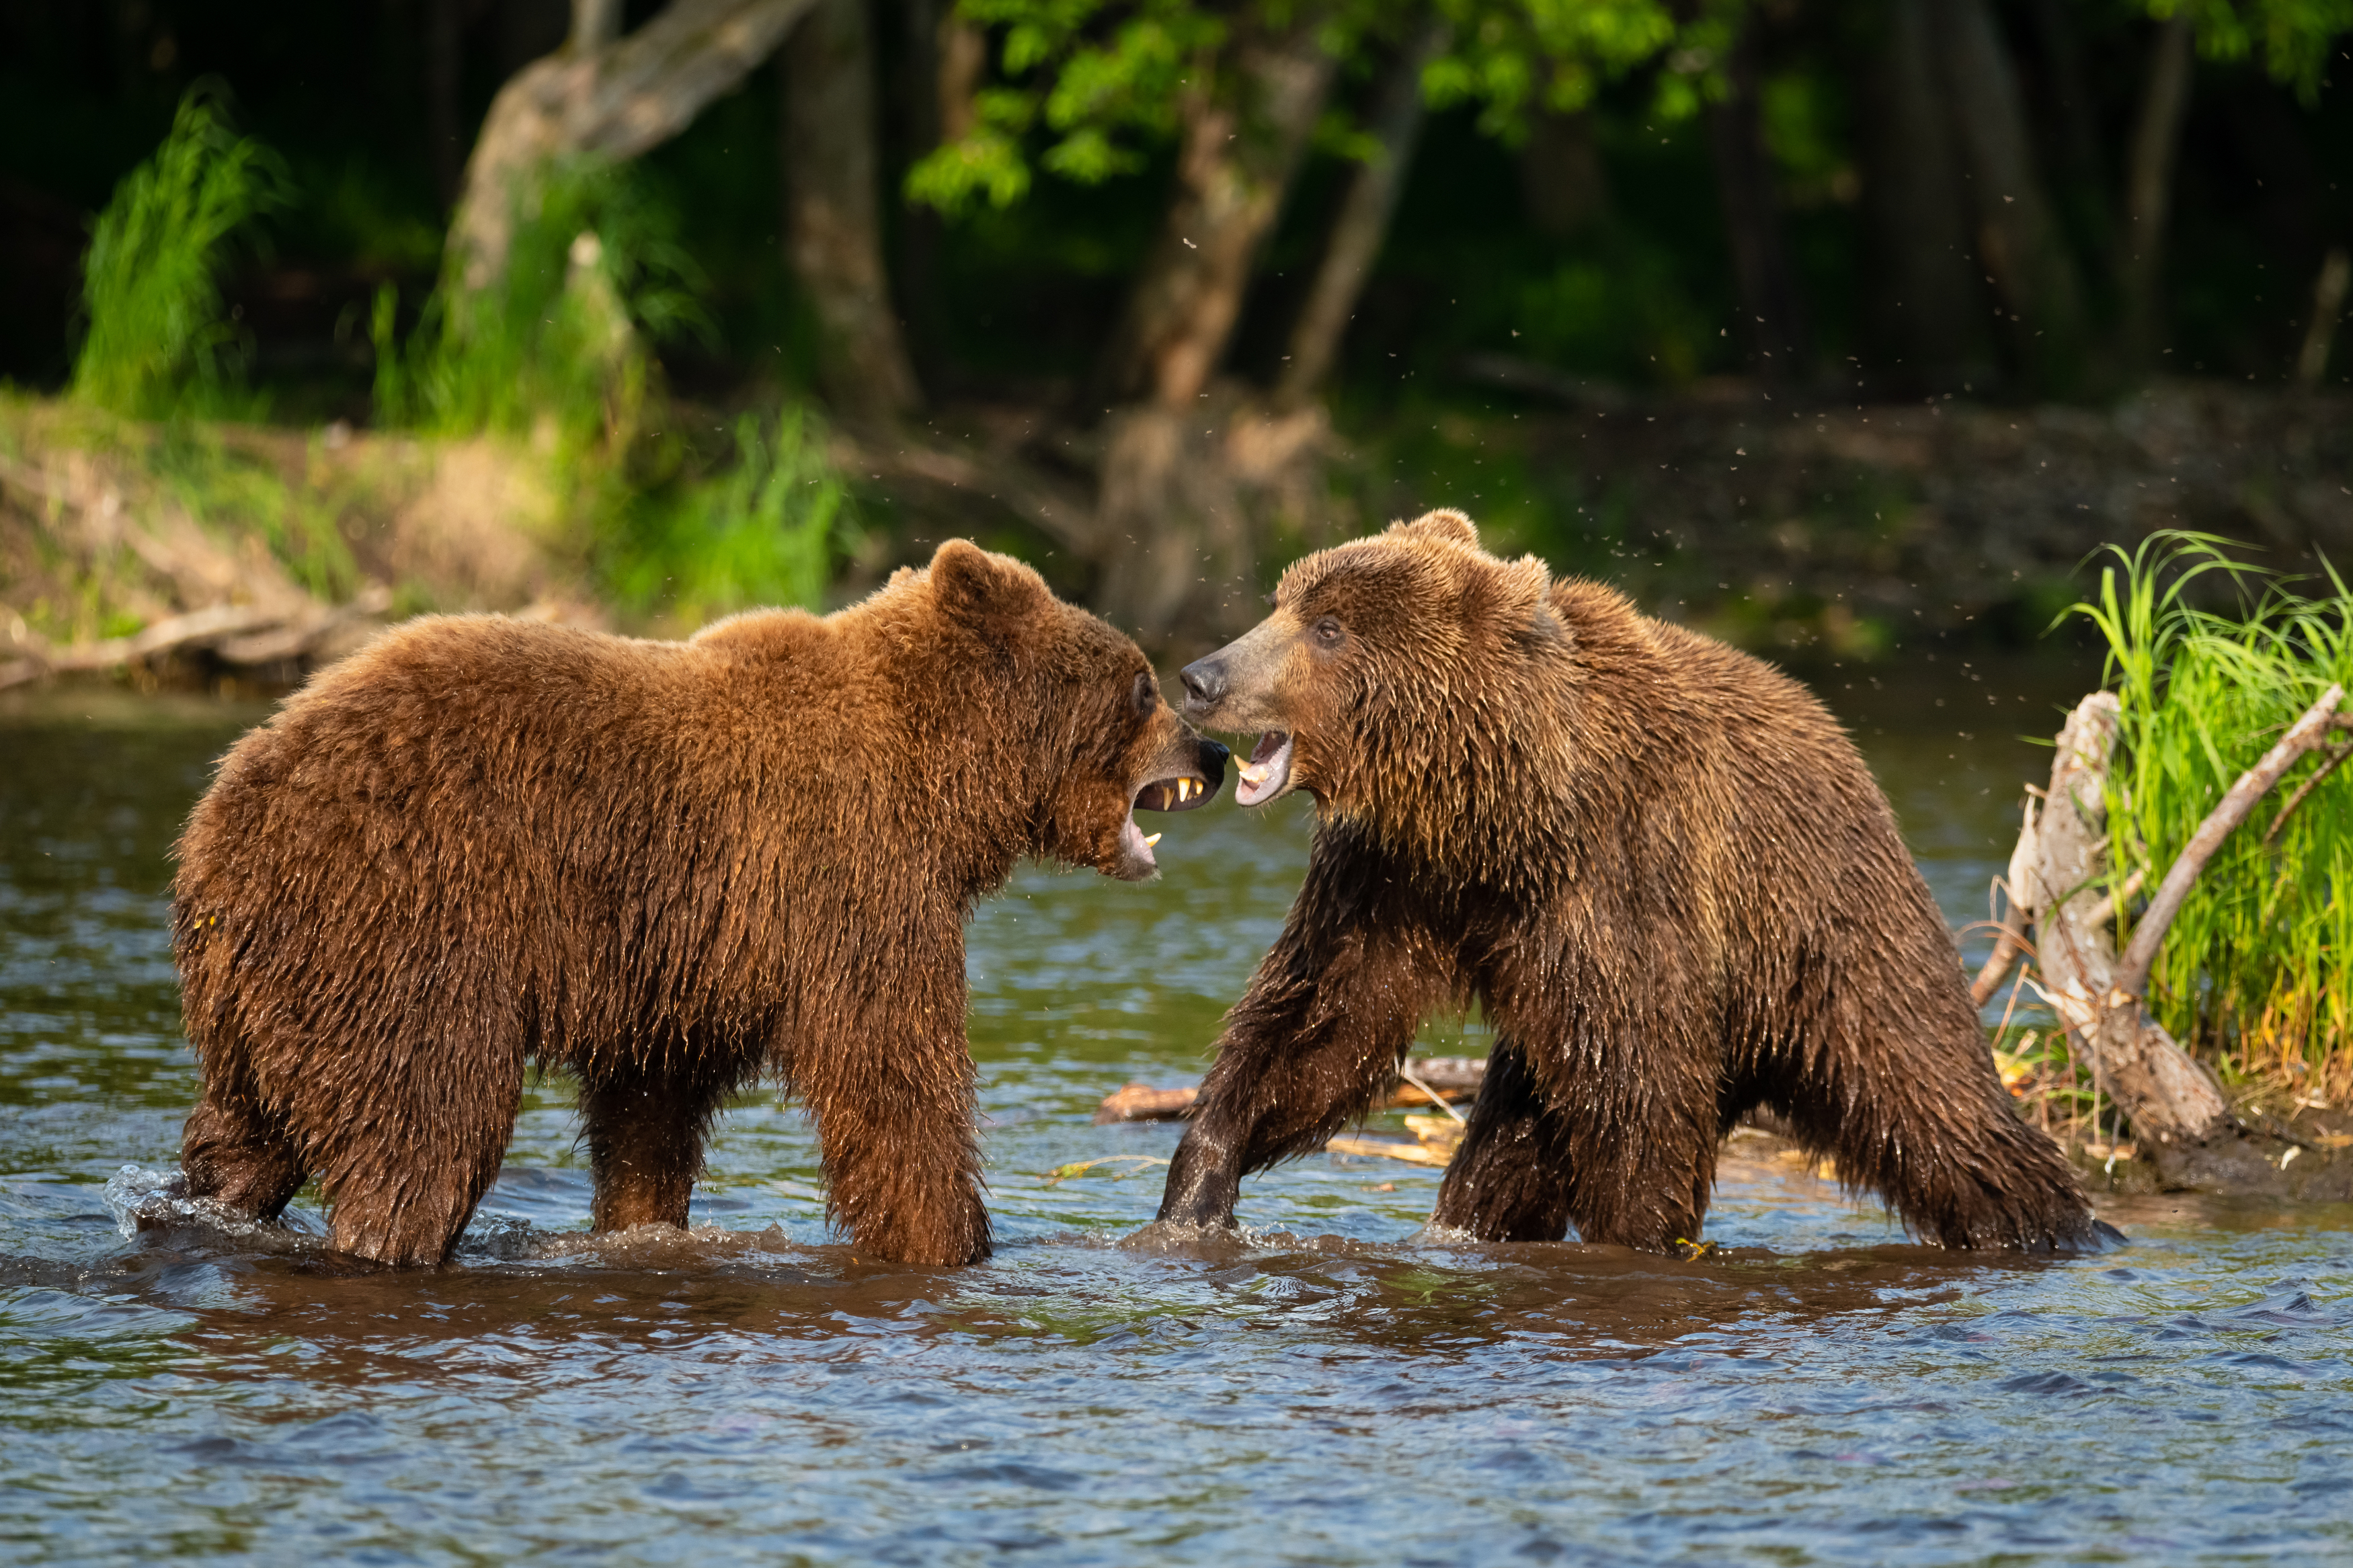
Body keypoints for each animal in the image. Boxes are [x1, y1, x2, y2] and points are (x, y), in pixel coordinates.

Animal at [171, 545, 1224, 1269]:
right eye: (1141, 684)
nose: (1210, 751)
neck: (942, 783)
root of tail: (221, 815)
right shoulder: (845, 872)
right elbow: (890, 1069)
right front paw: (953, 1238)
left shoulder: (682, 956)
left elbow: (651, 1110)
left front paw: (643, 1220)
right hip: (404, 916)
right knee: (427, 1119)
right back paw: (391, 1235)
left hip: (276, 983)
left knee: (245, 1137)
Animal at [1158, 510, 2099, 1260]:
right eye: (1281, 602)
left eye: (1327, 626)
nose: (1201, 676)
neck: (1496, 808)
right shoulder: (1393, 875)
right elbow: (1323, 1021)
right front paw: (1197, 1187)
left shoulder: (1624, 866)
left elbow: (1638, 1080)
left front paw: (1636, 1237)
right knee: (1516, 1131)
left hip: (1828, 937)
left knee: (1929, 1092)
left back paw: (2061, 1221)